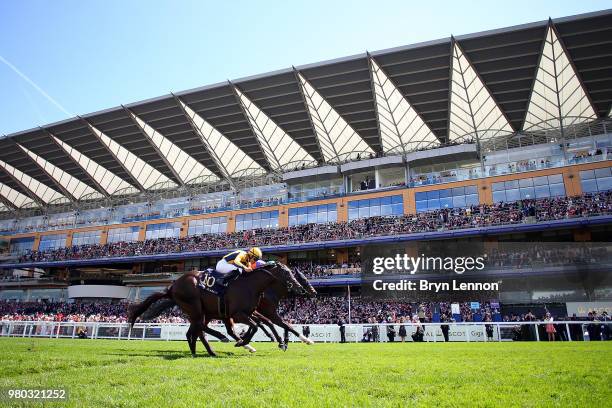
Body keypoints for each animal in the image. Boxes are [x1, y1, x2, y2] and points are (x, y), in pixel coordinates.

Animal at [128, 262, 302, 356]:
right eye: (286, 273)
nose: (300, 287)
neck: (251, 285)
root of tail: (172, 287)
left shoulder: (248, 312)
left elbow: (261, 324)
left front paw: (279, 341)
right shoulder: (237, 314)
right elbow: (256, 325)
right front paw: (244, 341)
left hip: (203, 312)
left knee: (196, 330)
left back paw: (200, 350)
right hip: (196, 307)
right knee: (200, 328)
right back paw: (217, 342)